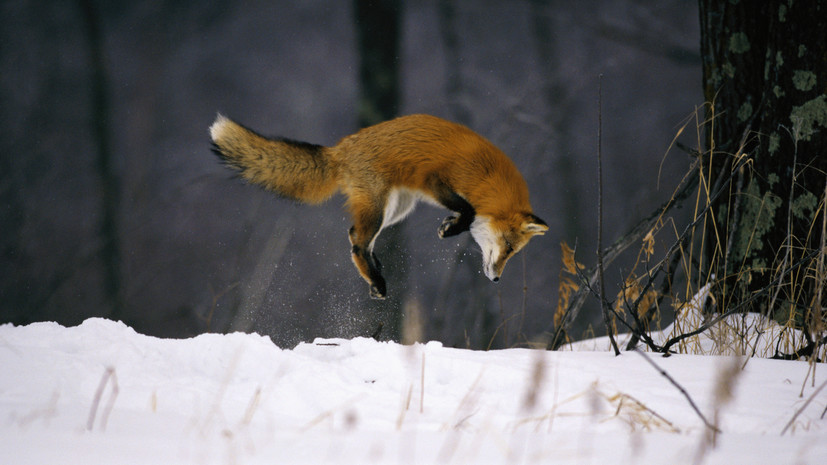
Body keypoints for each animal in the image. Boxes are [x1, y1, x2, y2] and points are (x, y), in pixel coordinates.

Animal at [212, 114, 548, 300]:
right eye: (508, 247)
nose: (496, 279)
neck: (487, 179)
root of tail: (340, 148)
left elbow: (466, 212)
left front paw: (449, 225)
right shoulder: (434, 179)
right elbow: (468, 211)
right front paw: (451, 228)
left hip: (397, 209)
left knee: (354, 235)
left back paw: (375, 275)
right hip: (380, 207)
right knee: (358, 242)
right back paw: (376, 280)